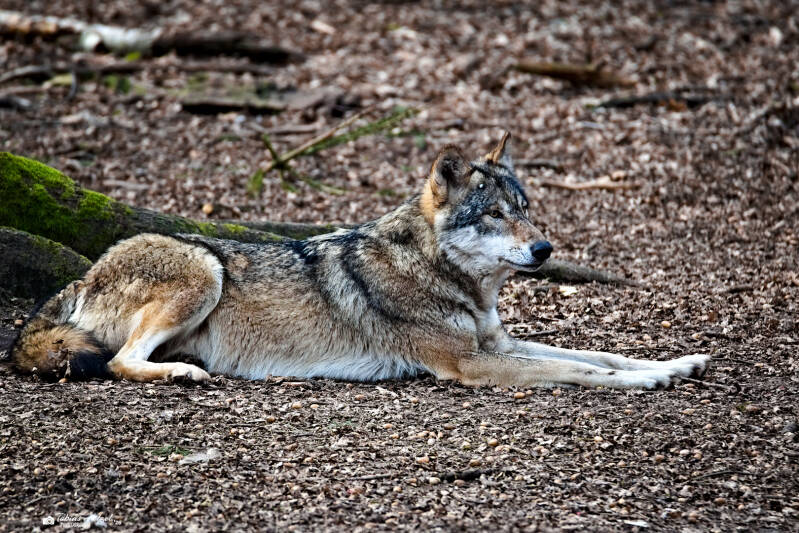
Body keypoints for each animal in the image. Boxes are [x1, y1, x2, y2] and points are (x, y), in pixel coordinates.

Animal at [11, 133, 709, 388]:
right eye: (492, 215)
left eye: (526, 209)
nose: (545, 250)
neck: (449, 279)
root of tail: (80, 275)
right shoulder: (474, 367)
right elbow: (582, 372)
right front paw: (647, 384)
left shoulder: (499, 346)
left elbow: (599, 353)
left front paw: (675, 364)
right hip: (203, 270)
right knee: (120, 362)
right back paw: (184, 375)